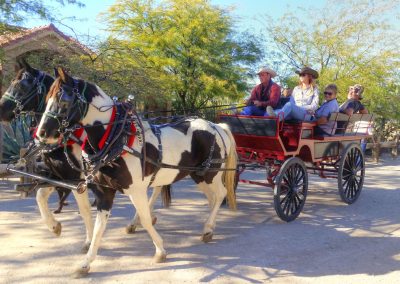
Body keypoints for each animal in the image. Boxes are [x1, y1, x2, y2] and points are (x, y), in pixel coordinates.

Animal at [0, 58, 93, 250]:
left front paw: (89, 241)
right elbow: (40, 196)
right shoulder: (56, 175)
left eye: (21, 86)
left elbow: (84, 209)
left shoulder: (77, 179)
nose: (0, 110)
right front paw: (54, 226)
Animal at [36, 69, 238, 278]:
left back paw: (207, 228)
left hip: (210, 173)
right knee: (212, 197)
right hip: (198, 175)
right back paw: (209, 226)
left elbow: (146, 219)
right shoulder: (103, 191)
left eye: (63, 100)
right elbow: (99, 226)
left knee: (221, 194)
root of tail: (216, 126)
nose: (41, 133)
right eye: (46, 98)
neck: (116, 138)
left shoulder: (136, 190)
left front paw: (160, 251)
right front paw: (85, 263)